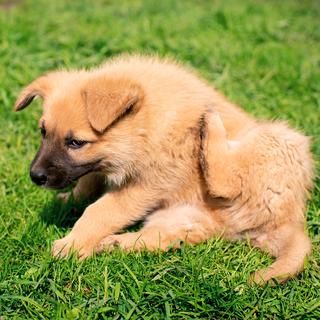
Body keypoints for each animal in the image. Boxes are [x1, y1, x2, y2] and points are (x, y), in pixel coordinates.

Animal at [15, 54, 312, 282]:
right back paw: (113, 244)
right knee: (161, 240)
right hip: (179, 219)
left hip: (275, 140)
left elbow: (100, 210)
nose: (35, 176)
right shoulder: (104, 167)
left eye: (76, 142)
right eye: (43, 132)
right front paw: (70, 202)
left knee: (227, 182)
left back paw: (210, 123)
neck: (146, 123)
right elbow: (89, 182)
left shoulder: (147, 184)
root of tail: (290, 221)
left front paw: (73, 244)